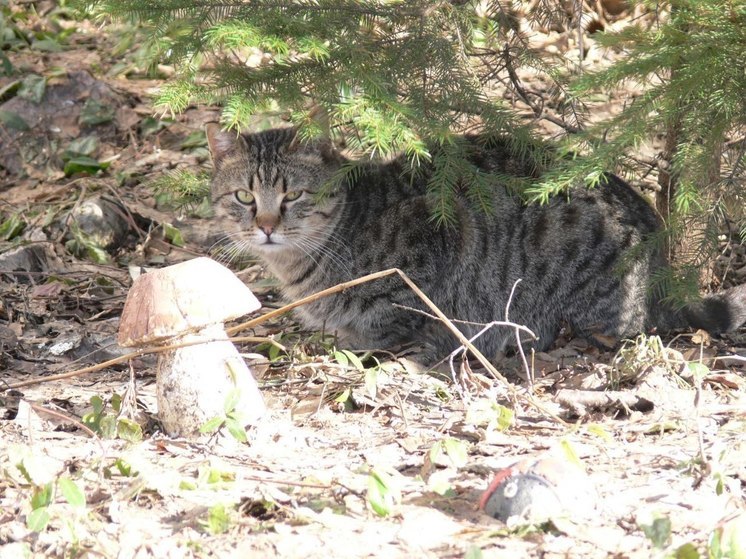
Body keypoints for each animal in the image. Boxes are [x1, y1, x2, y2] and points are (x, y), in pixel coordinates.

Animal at [203, 124, 744, 364]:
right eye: (244, 196)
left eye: (292, 195)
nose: (266, 225)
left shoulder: (422, 260)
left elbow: (389, 321)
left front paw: (359, 344)